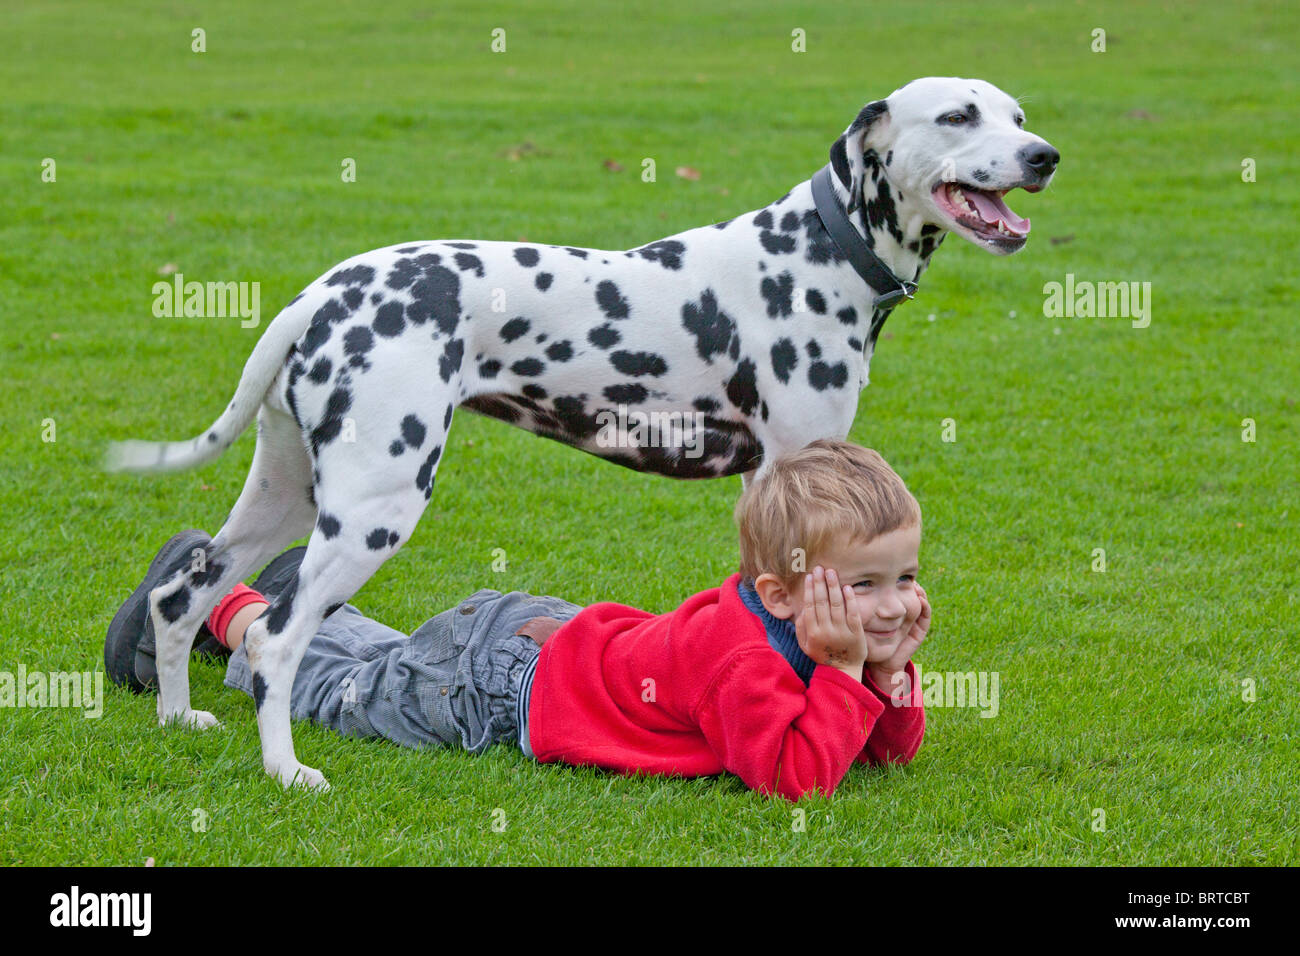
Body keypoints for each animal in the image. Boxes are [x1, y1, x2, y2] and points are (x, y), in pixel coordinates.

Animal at [104, 76, 1055, 790]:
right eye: (959, 117)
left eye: (1016, 115)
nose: (1044, 155)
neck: (818, 251)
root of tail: (322, 293)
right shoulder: (793, 467)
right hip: (376, 508)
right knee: (277, 638)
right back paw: (285, 770)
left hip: (287, 497)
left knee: (182, 596)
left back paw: (177, 714)